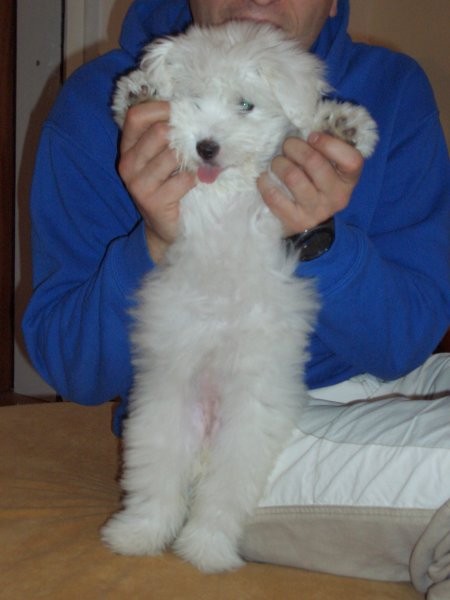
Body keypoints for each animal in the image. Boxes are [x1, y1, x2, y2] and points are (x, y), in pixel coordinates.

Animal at [101, 22, 376, 572]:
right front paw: (138, 93)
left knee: (220, 502)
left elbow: (285, 172)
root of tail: (207, 429)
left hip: (245, 437)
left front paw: (343, 126)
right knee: (156, 492)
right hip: (157, 426)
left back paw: (206, 550)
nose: (205, 147)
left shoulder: (271, 208)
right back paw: (137, 536)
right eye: (193, 98)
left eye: (245, 105)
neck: (223, 190)